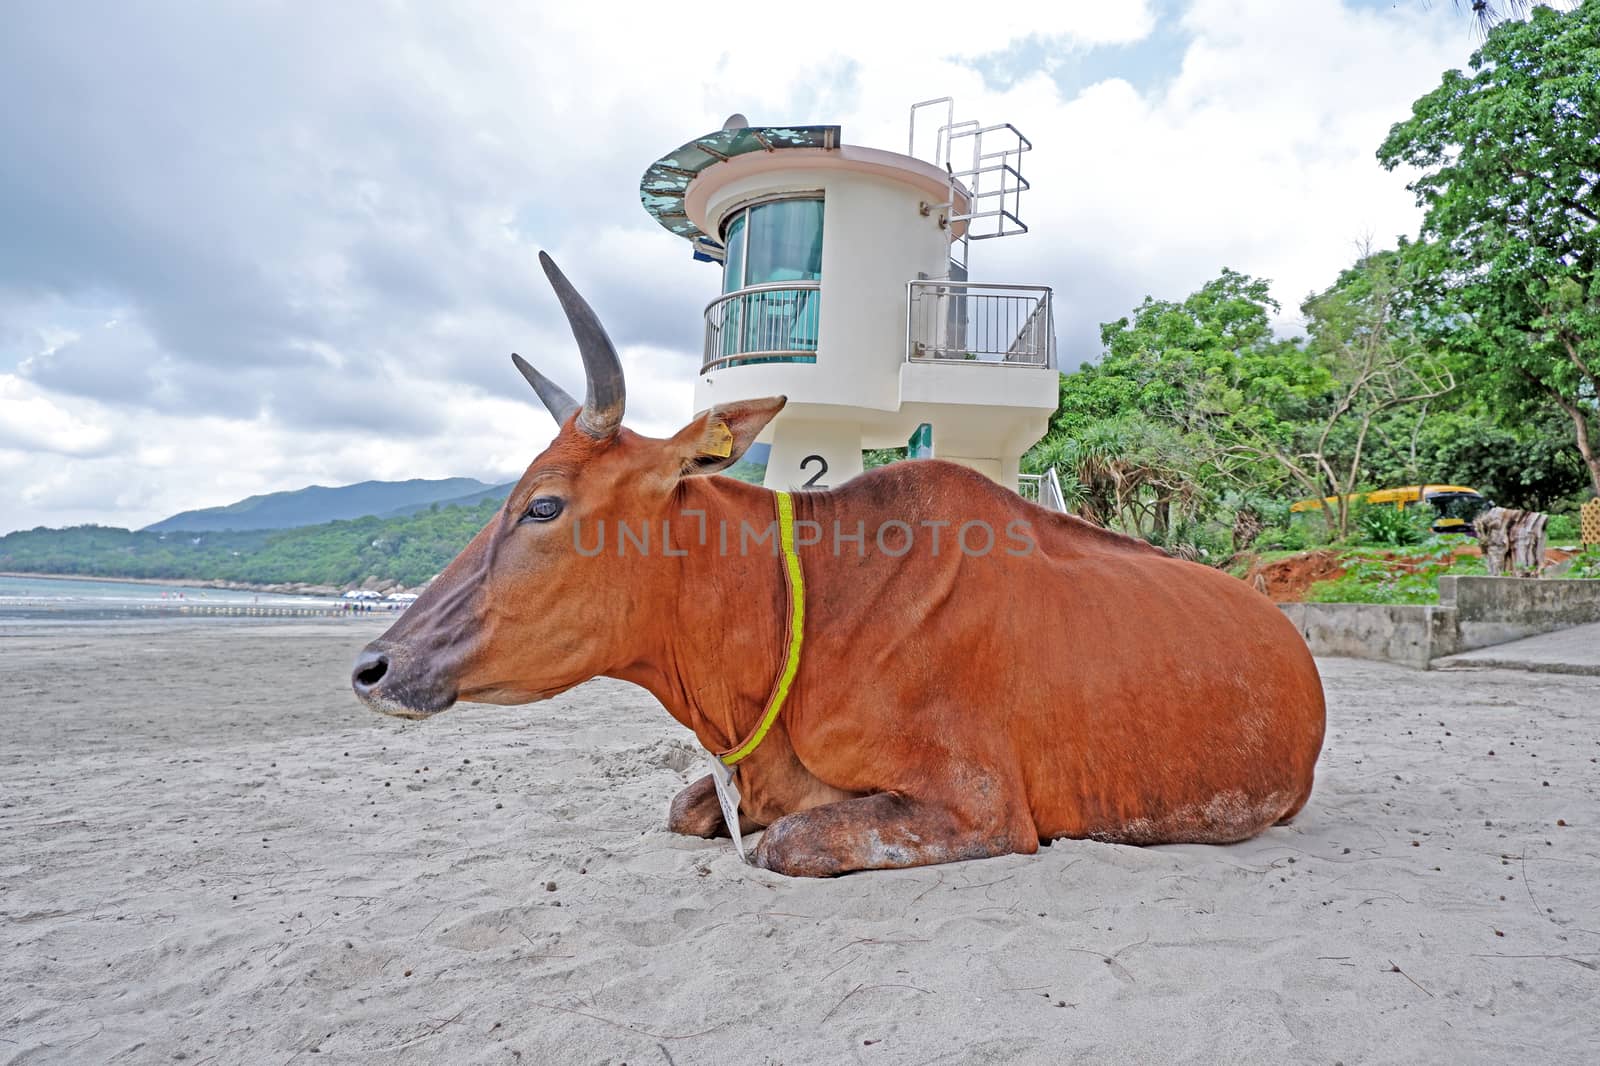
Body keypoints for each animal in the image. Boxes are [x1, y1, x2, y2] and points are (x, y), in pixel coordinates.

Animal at [356, 252, 1331, 877]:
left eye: (544, 506)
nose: (373, 666)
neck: (808, 604)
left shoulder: (979, 806)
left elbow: (787, 844)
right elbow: (684, 808)